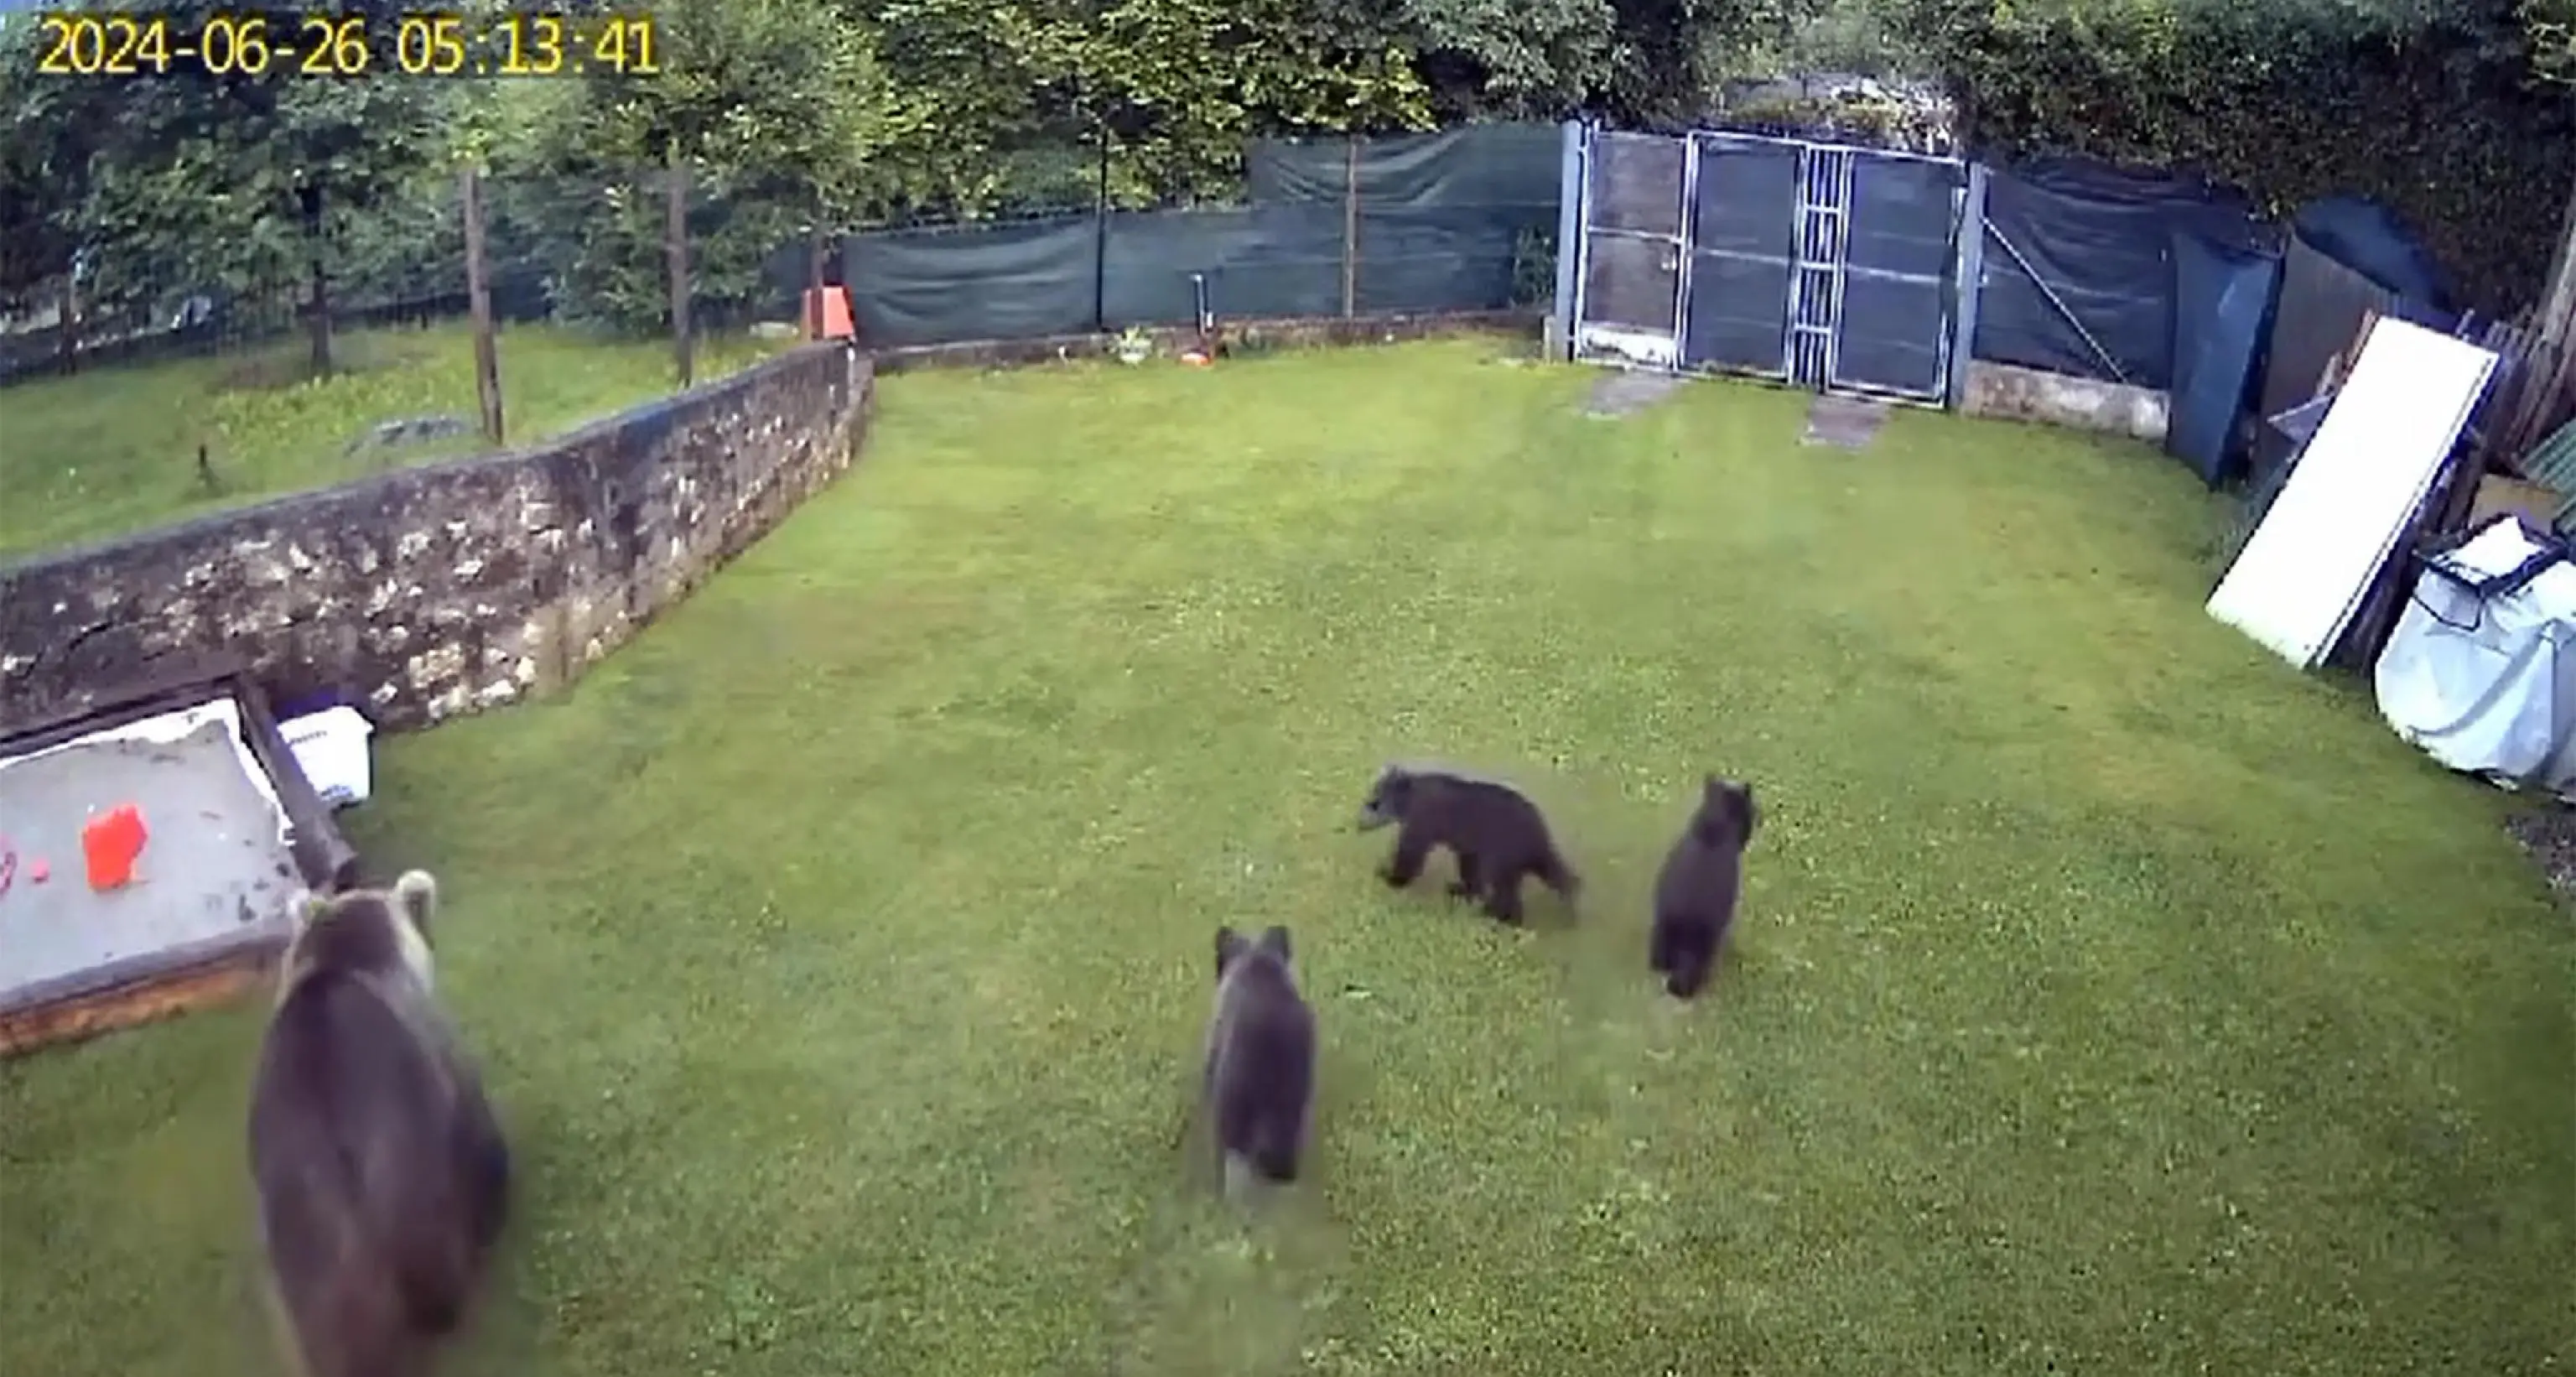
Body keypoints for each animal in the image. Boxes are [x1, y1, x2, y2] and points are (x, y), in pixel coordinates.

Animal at [1354, 761, 1581, 925]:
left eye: (1374, 803)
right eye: (1370, 797)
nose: (1358, 824)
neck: (1409, 799)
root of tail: (1540, 832)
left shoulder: (1424, 818)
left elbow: (1411, 852)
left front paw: (1390, 875)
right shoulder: (1469, 844)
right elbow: (1469, 865)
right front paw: (1463, 888)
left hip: (1504, 850)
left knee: (1504, 887)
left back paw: (1498, 915)